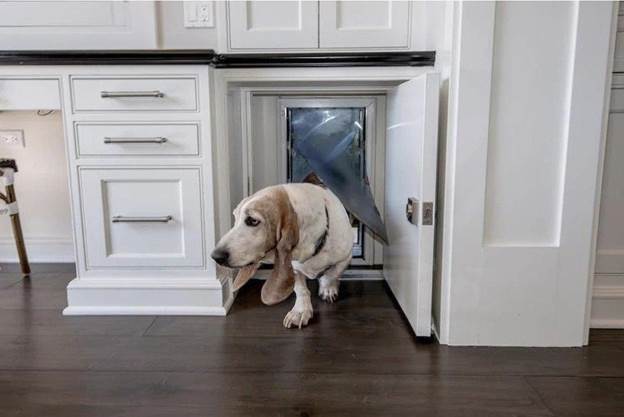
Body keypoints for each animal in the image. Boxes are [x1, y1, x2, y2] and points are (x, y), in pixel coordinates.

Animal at [212, 184, 354, 326]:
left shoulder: (346, 257)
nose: (215, 256)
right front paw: (300, 311)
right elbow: (301, 289)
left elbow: (331, 274)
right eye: (235, 218)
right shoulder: (293, 267)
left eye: (252, 220)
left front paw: (327, 288)